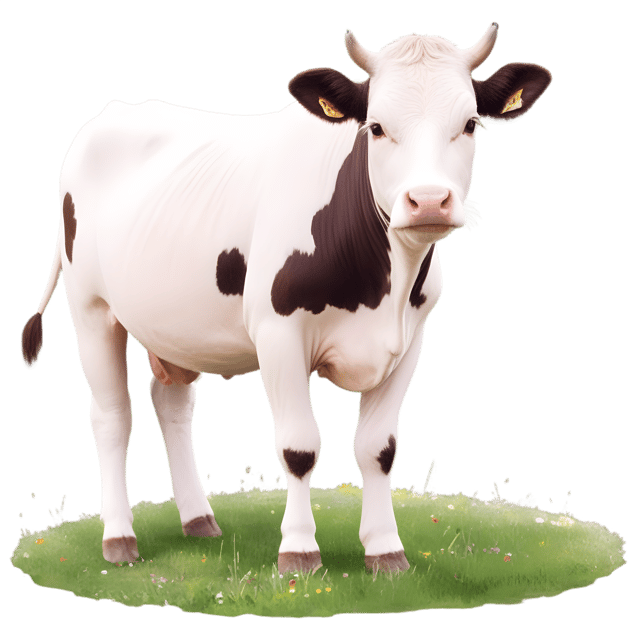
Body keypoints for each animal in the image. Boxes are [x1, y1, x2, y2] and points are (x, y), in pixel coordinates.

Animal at [20, 22, 551, 574]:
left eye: (469, 124)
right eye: (376, 127)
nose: (428, 201)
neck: (381, 288)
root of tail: (114, 110)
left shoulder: (410, 340)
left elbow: (378, 449)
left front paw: (385, 550)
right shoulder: (277, 333)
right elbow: (299, 448)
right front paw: (298, 550)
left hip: (175, 326)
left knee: (171, 404)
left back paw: (198, 520)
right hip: (91, 309)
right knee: (111, 418)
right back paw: (119, 537)